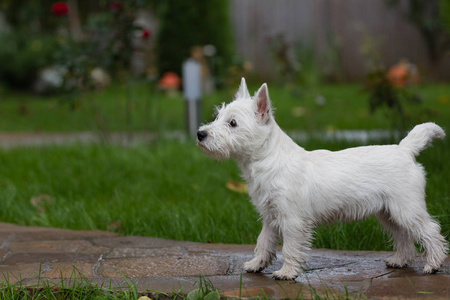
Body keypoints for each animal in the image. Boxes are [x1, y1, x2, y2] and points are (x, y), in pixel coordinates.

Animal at [197, 78, 446, 280]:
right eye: (218, 116)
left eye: (233, 123)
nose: (200, 134)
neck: (268, 160)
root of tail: (405, 150)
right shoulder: (270, 217)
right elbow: (263, 242)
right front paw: (256, 264)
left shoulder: (292, 220)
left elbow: (289, 248)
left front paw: (287, 272)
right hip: (388, 212)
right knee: (404, 236)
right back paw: (400, 260)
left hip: (406, 208)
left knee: (430, 230)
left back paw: (433, 264)